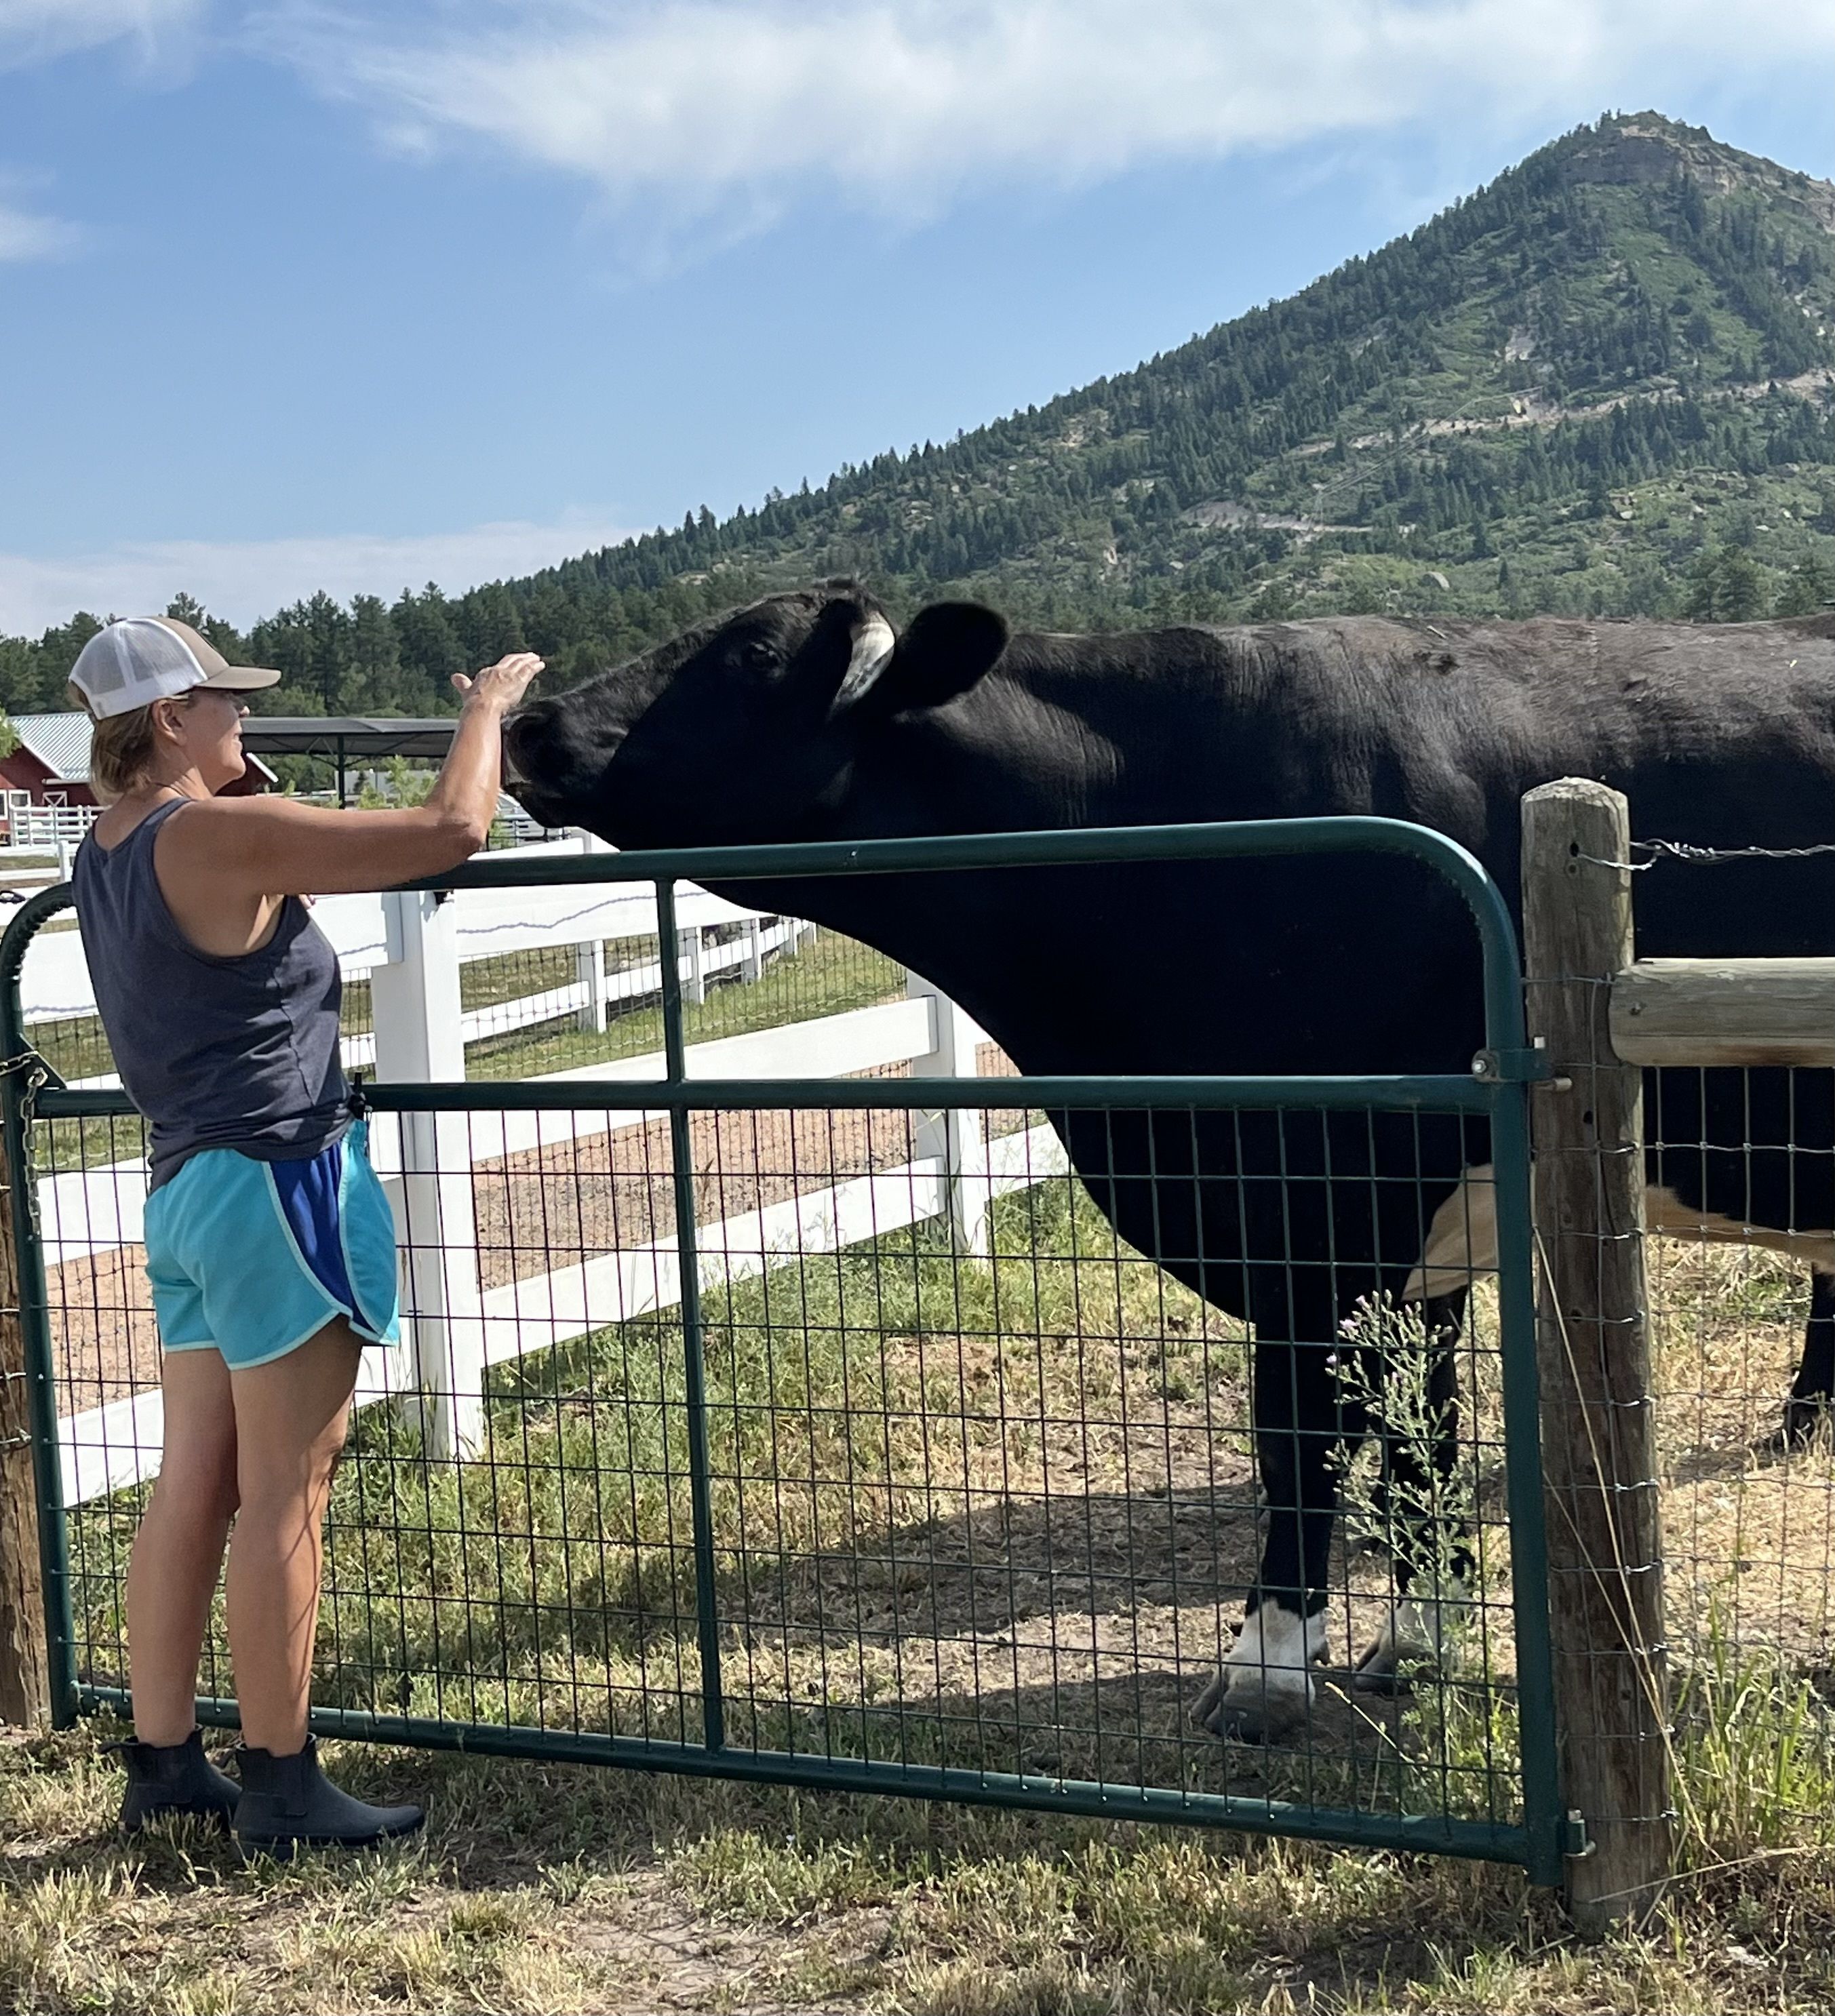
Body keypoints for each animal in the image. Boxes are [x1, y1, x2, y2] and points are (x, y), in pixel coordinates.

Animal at [506, 585, 1835, 1733]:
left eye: (748, 653)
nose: (528, 719)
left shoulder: (1317, 1206)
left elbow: (1301, 1439)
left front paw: (1266, 1666)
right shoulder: (1419, 1239)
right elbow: (1419, 1439)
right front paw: (1418, 1641)